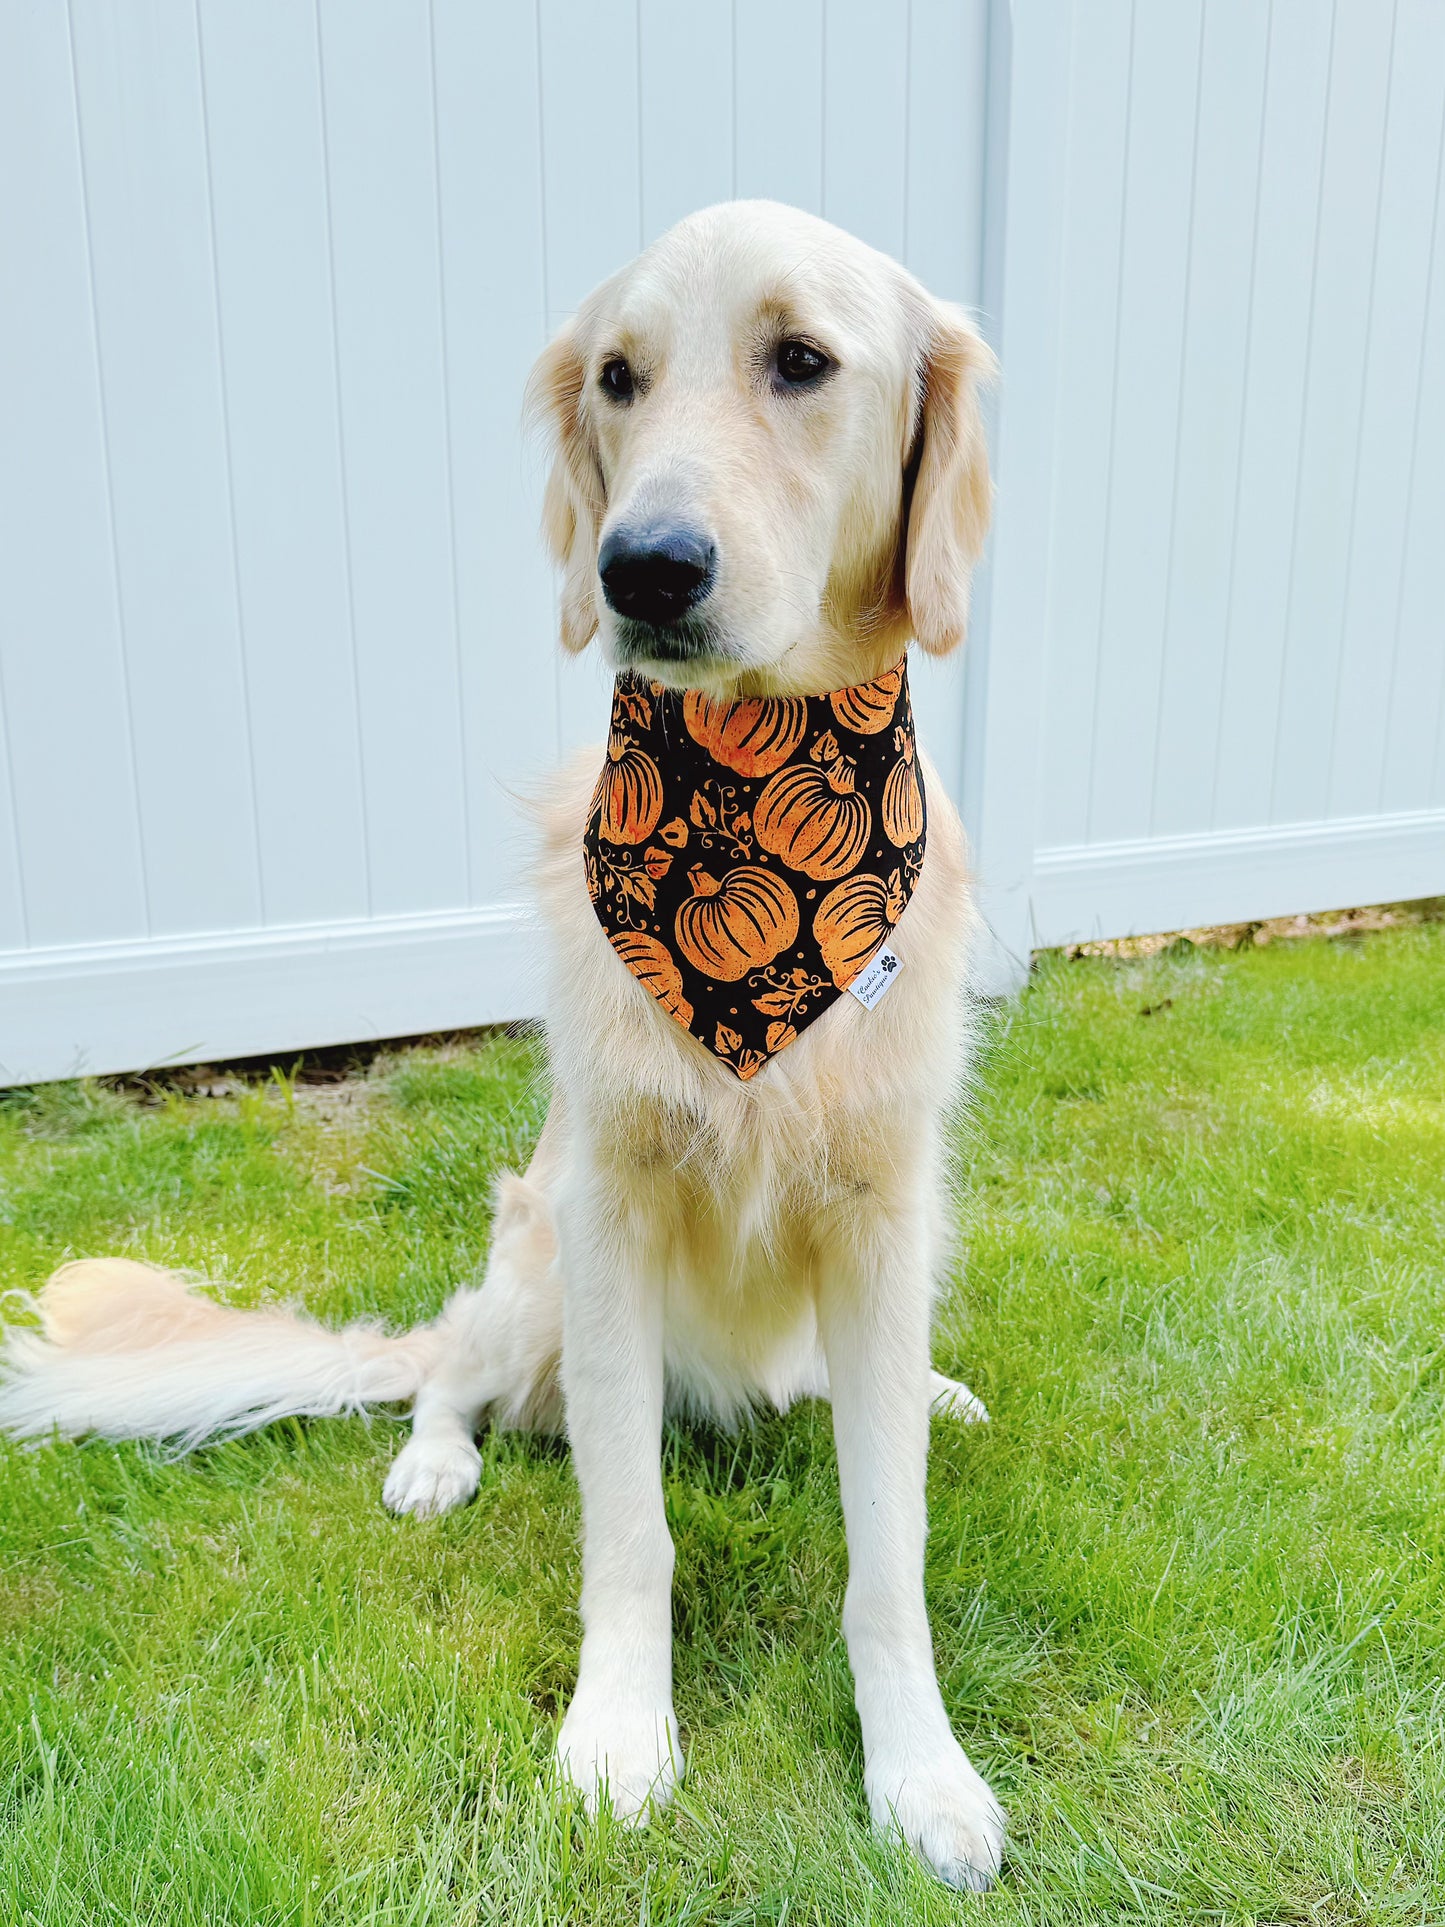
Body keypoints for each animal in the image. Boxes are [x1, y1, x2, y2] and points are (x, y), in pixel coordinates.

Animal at [2, 203, 1009, 1888]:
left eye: (802, 361)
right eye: (618, 377)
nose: (641, 567)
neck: (744, 774)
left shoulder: (882, 1220)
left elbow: (891, 1552)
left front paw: (919, 1770)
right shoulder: (608, 1215)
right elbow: (628, 1531)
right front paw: (619, 1731)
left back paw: (928, 1391)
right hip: (530, 1269)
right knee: (448, 1368)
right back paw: (432, 1456)